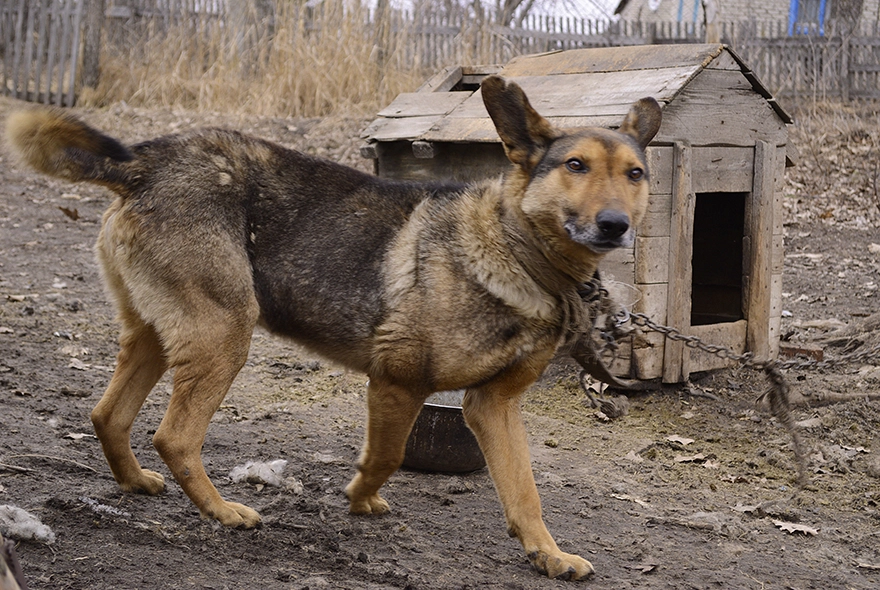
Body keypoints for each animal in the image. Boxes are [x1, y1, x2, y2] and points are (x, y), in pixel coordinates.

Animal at [3, 77, 656, 584]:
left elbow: (525, 492)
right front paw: (360, 498)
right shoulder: (397, 382)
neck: (517, 250)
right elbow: (387, 455)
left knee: (108, 415)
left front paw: (548, 555)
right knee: (175, 436)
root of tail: (144, 159)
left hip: (157, 337)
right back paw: (221, 512)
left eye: (635, 174)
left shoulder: (494, 406)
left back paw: (136, 481)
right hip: (225, 333)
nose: (616, 225)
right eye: (575, 166)